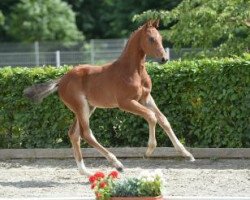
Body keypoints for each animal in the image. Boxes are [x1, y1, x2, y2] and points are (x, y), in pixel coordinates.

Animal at [23, 20, 195, 176]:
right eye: (151, 39)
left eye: (161, 38)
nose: (164, 59)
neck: (133, 71)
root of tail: (61, 80)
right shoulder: (126, 102)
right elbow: (152, 117)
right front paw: (148, 151)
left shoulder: (146, 98)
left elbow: (164, 120)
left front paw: (186, 154)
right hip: (81, 106)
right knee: (86, 133)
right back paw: (117, 164)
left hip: (88, 107)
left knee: (74, 133)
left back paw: (85, 171)